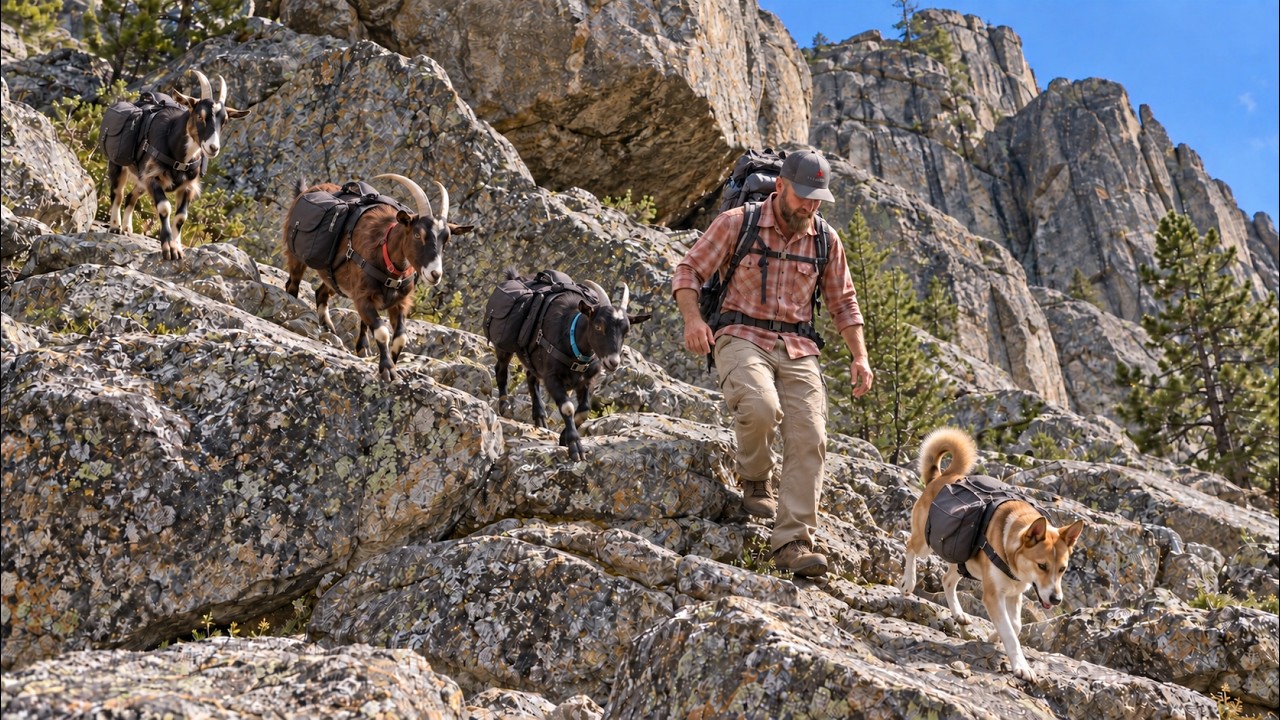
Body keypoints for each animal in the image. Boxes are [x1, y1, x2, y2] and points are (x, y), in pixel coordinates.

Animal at [106, 70, 250, 261]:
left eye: (224, 121)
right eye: (200, 115)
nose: (213, 148)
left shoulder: (187, 186)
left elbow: (181, 217)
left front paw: (178, 247)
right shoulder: (153, 177)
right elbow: (164, 208)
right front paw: (169, 248)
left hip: (141, 178)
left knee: (131, 196)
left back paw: (127, 228)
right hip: (118, 165)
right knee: (118, 194)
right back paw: (115, 227)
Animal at [283, 173, 473, 383]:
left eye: (446, 240)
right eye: (417, 234)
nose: (435, 274)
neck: (385, 256)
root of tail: (305, 191)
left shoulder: (400, 302)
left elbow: (400, 337)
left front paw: (394, 366)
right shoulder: (363, 297)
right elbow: (382, 332)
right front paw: (387, 369)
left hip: (335, 277)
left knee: (321, 292)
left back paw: (333, 331)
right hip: (296, 256)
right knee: (292, 284)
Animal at [495, 273, 651, 460]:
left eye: (626, 331)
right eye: (598, 326)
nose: (613, 362)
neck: (571, 340)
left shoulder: (588, 380)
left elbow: (583, 411)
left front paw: (563, 437)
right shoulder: (552, 377)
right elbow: (568, 408)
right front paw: (575, 446)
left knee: (531, 377)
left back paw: (540, 417)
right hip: (504, 347)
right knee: (501, 370)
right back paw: (504, 406)